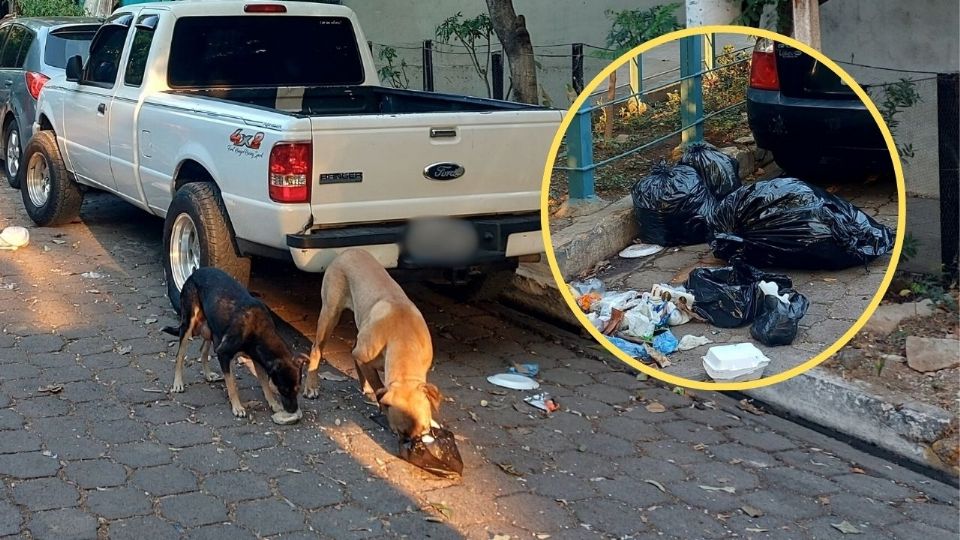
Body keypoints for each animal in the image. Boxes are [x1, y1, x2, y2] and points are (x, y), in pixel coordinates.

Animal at [161, 268, 304, 420]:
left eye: (298, 389)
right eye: (283, 389)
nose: (293, 410)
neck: (259, 330)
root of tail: (195, 272)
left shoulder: (257, 358)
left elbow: (265, 383)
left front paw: (273, 403)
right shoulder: (224, 353)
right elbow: (232, 384)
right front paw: (237, 407)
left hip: (212, 329)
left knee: (203, 350)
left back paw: (208, 374)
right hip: (188, 323)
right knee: (180, 355)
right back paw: (178, 383)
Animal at [304, 249, 442, 438]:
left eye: (424, 430)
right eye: (399, 433)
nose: (412, 443)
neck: (404, 338)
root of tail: (346, 252)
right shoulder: (365, 359)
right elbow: (378, 385)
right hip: (330, 313)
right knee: (317, 349)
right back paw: (311, 386)